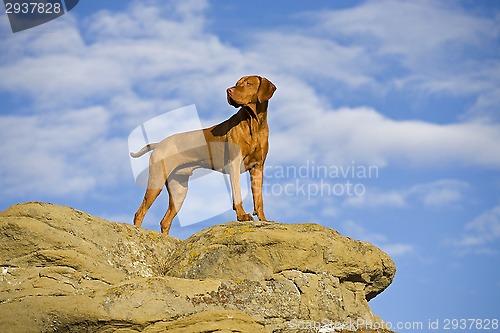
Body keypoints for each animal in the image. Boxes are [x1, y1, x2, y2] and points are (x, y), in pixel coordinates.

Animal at [131, 75, 276, 233]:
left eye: (249, 83)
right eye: (237, 83)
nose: (228, 90)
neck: (254, 123)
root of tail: (159, 144)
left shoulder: (258, 167)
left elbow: (259, 198)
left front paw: (263, 219)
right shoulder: (234, 164)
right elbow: (237, 194)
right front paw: (242, 215)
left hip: (179, 190)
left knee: (165, 221)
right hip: (156, 181)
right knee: (139, 212)